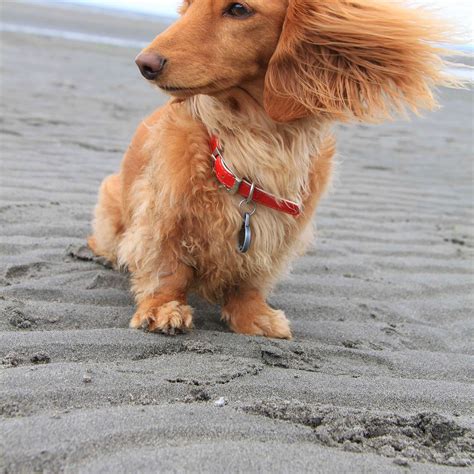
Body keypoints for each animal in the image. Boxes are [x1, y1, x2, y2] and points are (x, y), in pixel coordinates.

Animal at [88, 0, 452, 340]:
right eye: (188, 6)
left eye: (238, 9)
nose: (144, 63)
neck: (255, 141)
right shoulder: (164, 210)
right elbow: (166, 267)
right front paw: (163, 307)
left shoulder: (278, 231)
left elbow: (250, 278)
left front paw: (253, 315)